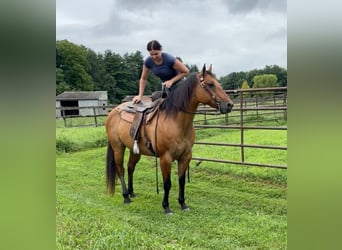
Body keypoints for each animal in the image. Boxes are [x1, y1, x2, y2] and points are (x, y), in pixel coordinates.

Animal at [105, 63, 234, 214]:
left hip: (134, 150)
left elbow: (181, 180)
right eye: (210, 84)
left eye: (218, 83)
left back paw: (132, 193)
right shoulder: (165, 158)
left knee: (130, 167)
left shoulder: (185, 157)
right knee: (121, 170)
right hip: (118, 148)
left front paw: (183, 204)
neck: (175, 122)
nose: (229, 105)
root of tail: (114, 111)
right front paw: (166, 207)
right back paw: (126, 197)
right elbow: (167, 183)